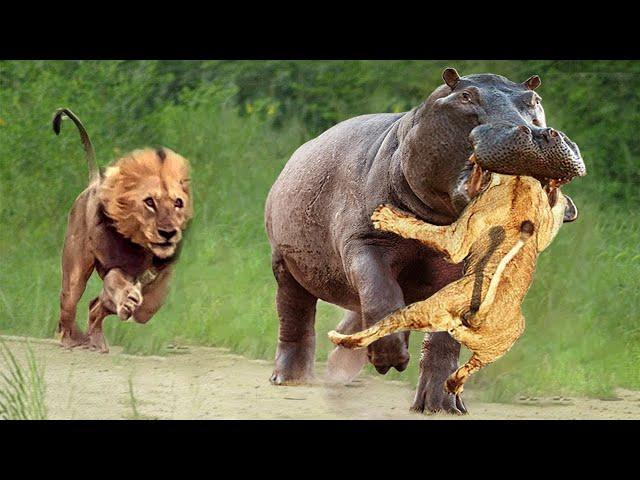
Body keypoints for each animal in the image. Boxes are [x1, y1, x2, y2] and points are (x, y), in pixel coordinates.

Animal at [264, 67, 584, 412]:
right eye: (465, 96)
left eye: (535, 99)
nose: (537, 134)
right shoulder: (365, 243)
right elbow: (380, 292)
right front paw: (390, 361)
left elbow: (442, 341)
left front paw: (443, 406)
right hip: (284, 265)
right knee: (295, 315)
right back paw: (289, 378)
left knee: (358, 315)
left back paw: (339, 373)